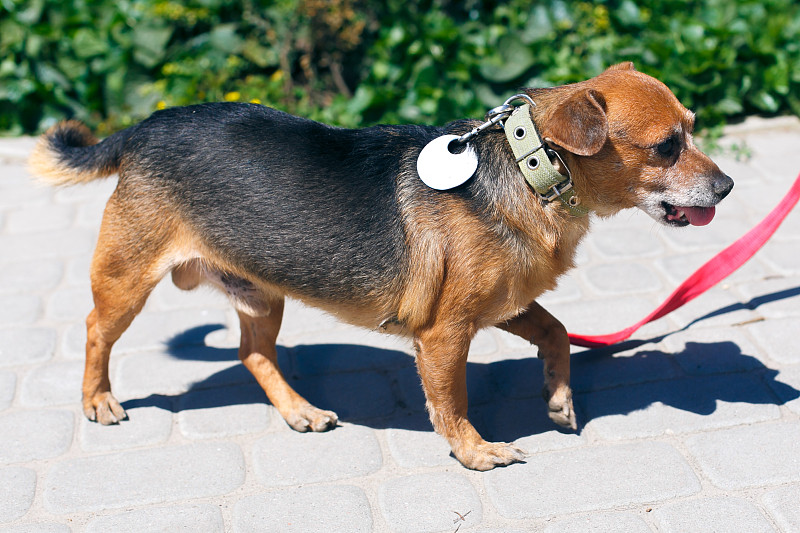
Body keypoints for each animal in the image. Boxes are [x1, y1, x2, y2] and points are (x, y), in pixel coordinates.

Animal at [29, 63, 732, 470]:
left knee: (253, 354)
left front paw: (558, 399)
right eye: (667, 147)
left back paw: (300, 411)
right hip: (127, 278)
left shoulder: (502, 305)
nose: (726, 187)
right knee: (95, 331)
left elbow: (557, 331)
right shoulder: (446, 334)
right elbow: (451, 401)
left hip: (263, 292)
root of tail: (143, 126)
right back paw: (99, 400)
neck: (530, 169)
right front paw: (474, 452)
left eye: (694, 128)